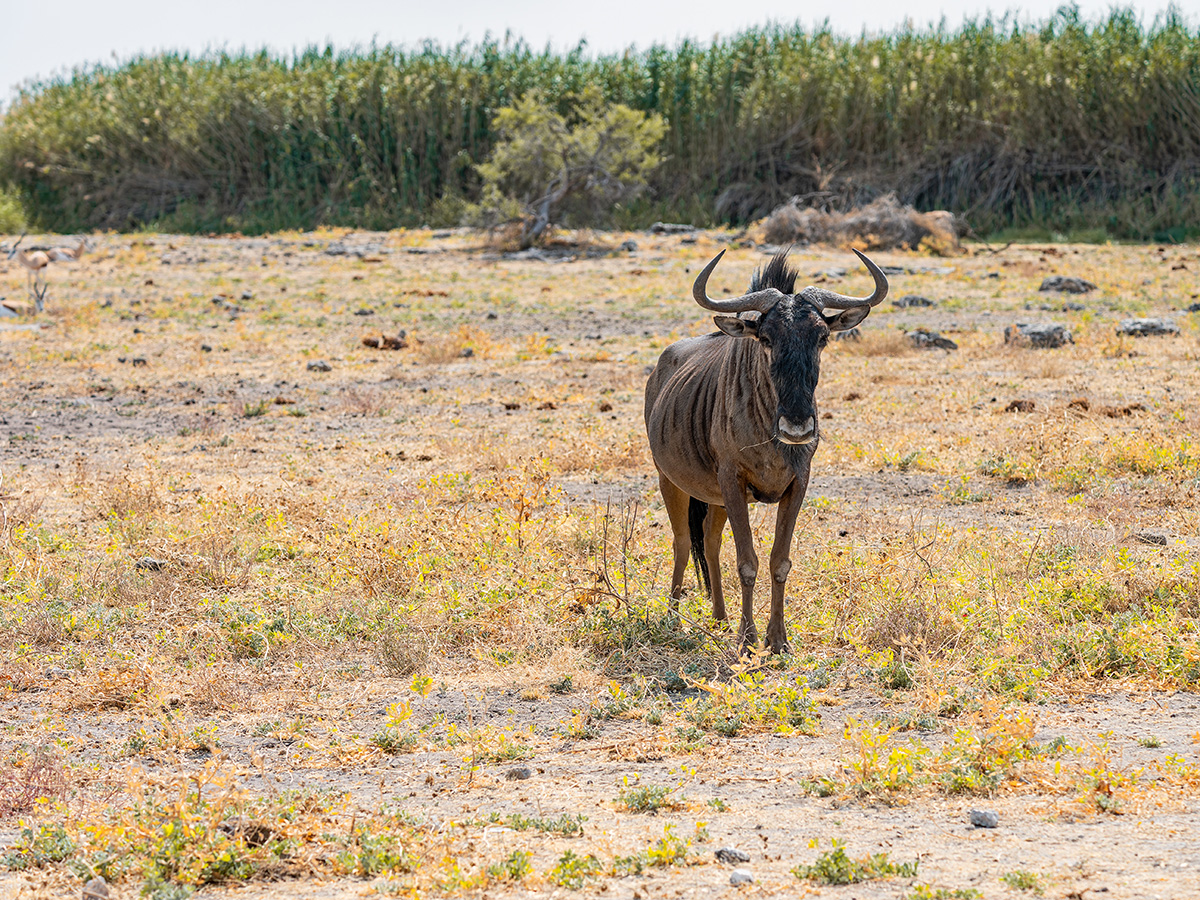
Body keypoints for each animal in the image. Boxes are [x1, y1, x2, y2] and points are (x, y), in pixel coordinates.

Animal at [644, 248, 887, 653]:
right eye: (767, 338)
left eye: (822, 337)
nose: (798, 428)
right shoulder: (733, 481)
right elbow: (747, 562)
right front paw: (747, 640)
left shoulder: (796, 484)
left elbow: (779, 561)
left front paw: (778, 640)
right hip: (671, 481)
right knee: (682, 541)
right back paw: (674, 616)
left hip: (715, 497)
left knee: (709, 541)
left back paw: (720, 616)